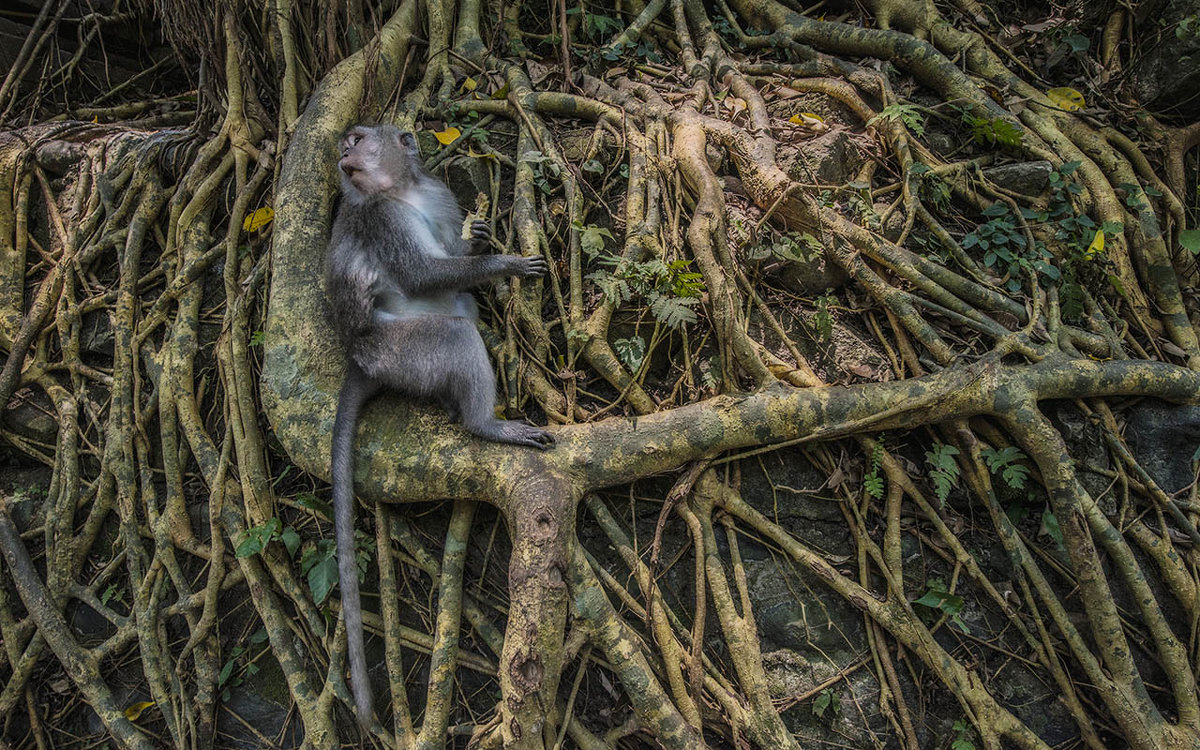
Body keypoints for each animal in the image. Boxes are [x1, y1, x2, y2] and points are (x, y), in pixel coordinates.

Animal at [326, 124, 554, 724]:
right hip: (402, 355)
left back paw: (460, 410)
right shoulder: (381, 217)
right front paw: (502, 262)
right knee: (453, 332)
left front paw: (475, 241)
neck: (401, 191)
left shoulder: (438, 195)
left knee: (460, 308)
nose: (343, 153)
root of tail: (360, 358)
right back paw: (482, 424)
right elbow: (421, 271)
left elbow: (448, 258)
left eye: (357, 139)